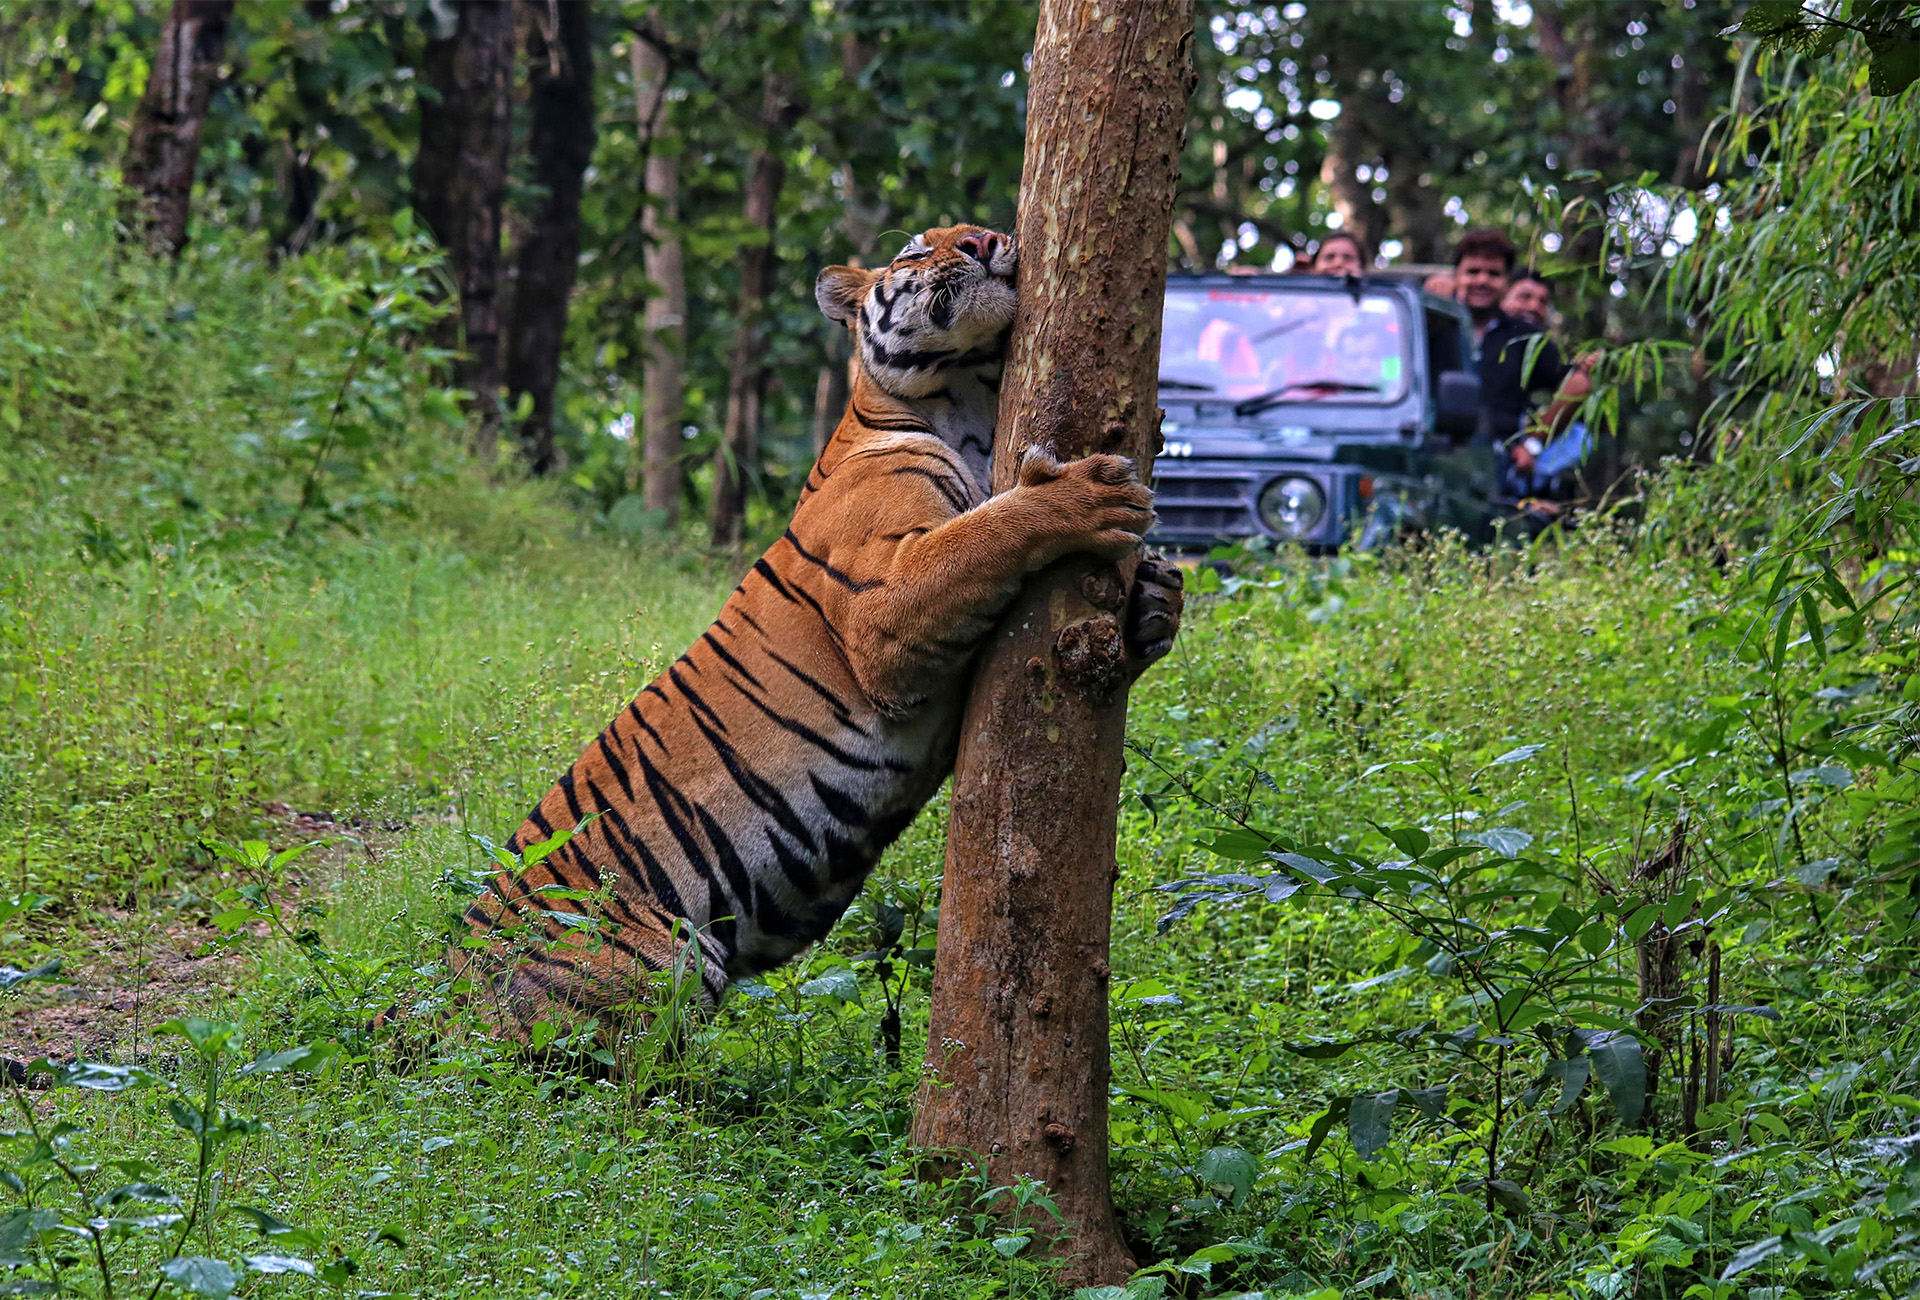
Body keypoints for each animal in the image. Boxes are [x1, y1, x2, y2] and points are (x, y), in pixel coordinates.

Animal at [450, 223, 1185, 1040]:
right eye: (915, 250)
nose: (985, 239)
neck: (969, 405)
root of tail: (440, 986)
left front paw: (1157, 596)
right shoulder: (884, 613)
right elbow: (988, 533)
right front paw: (1086, 496)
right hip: (659, 958)